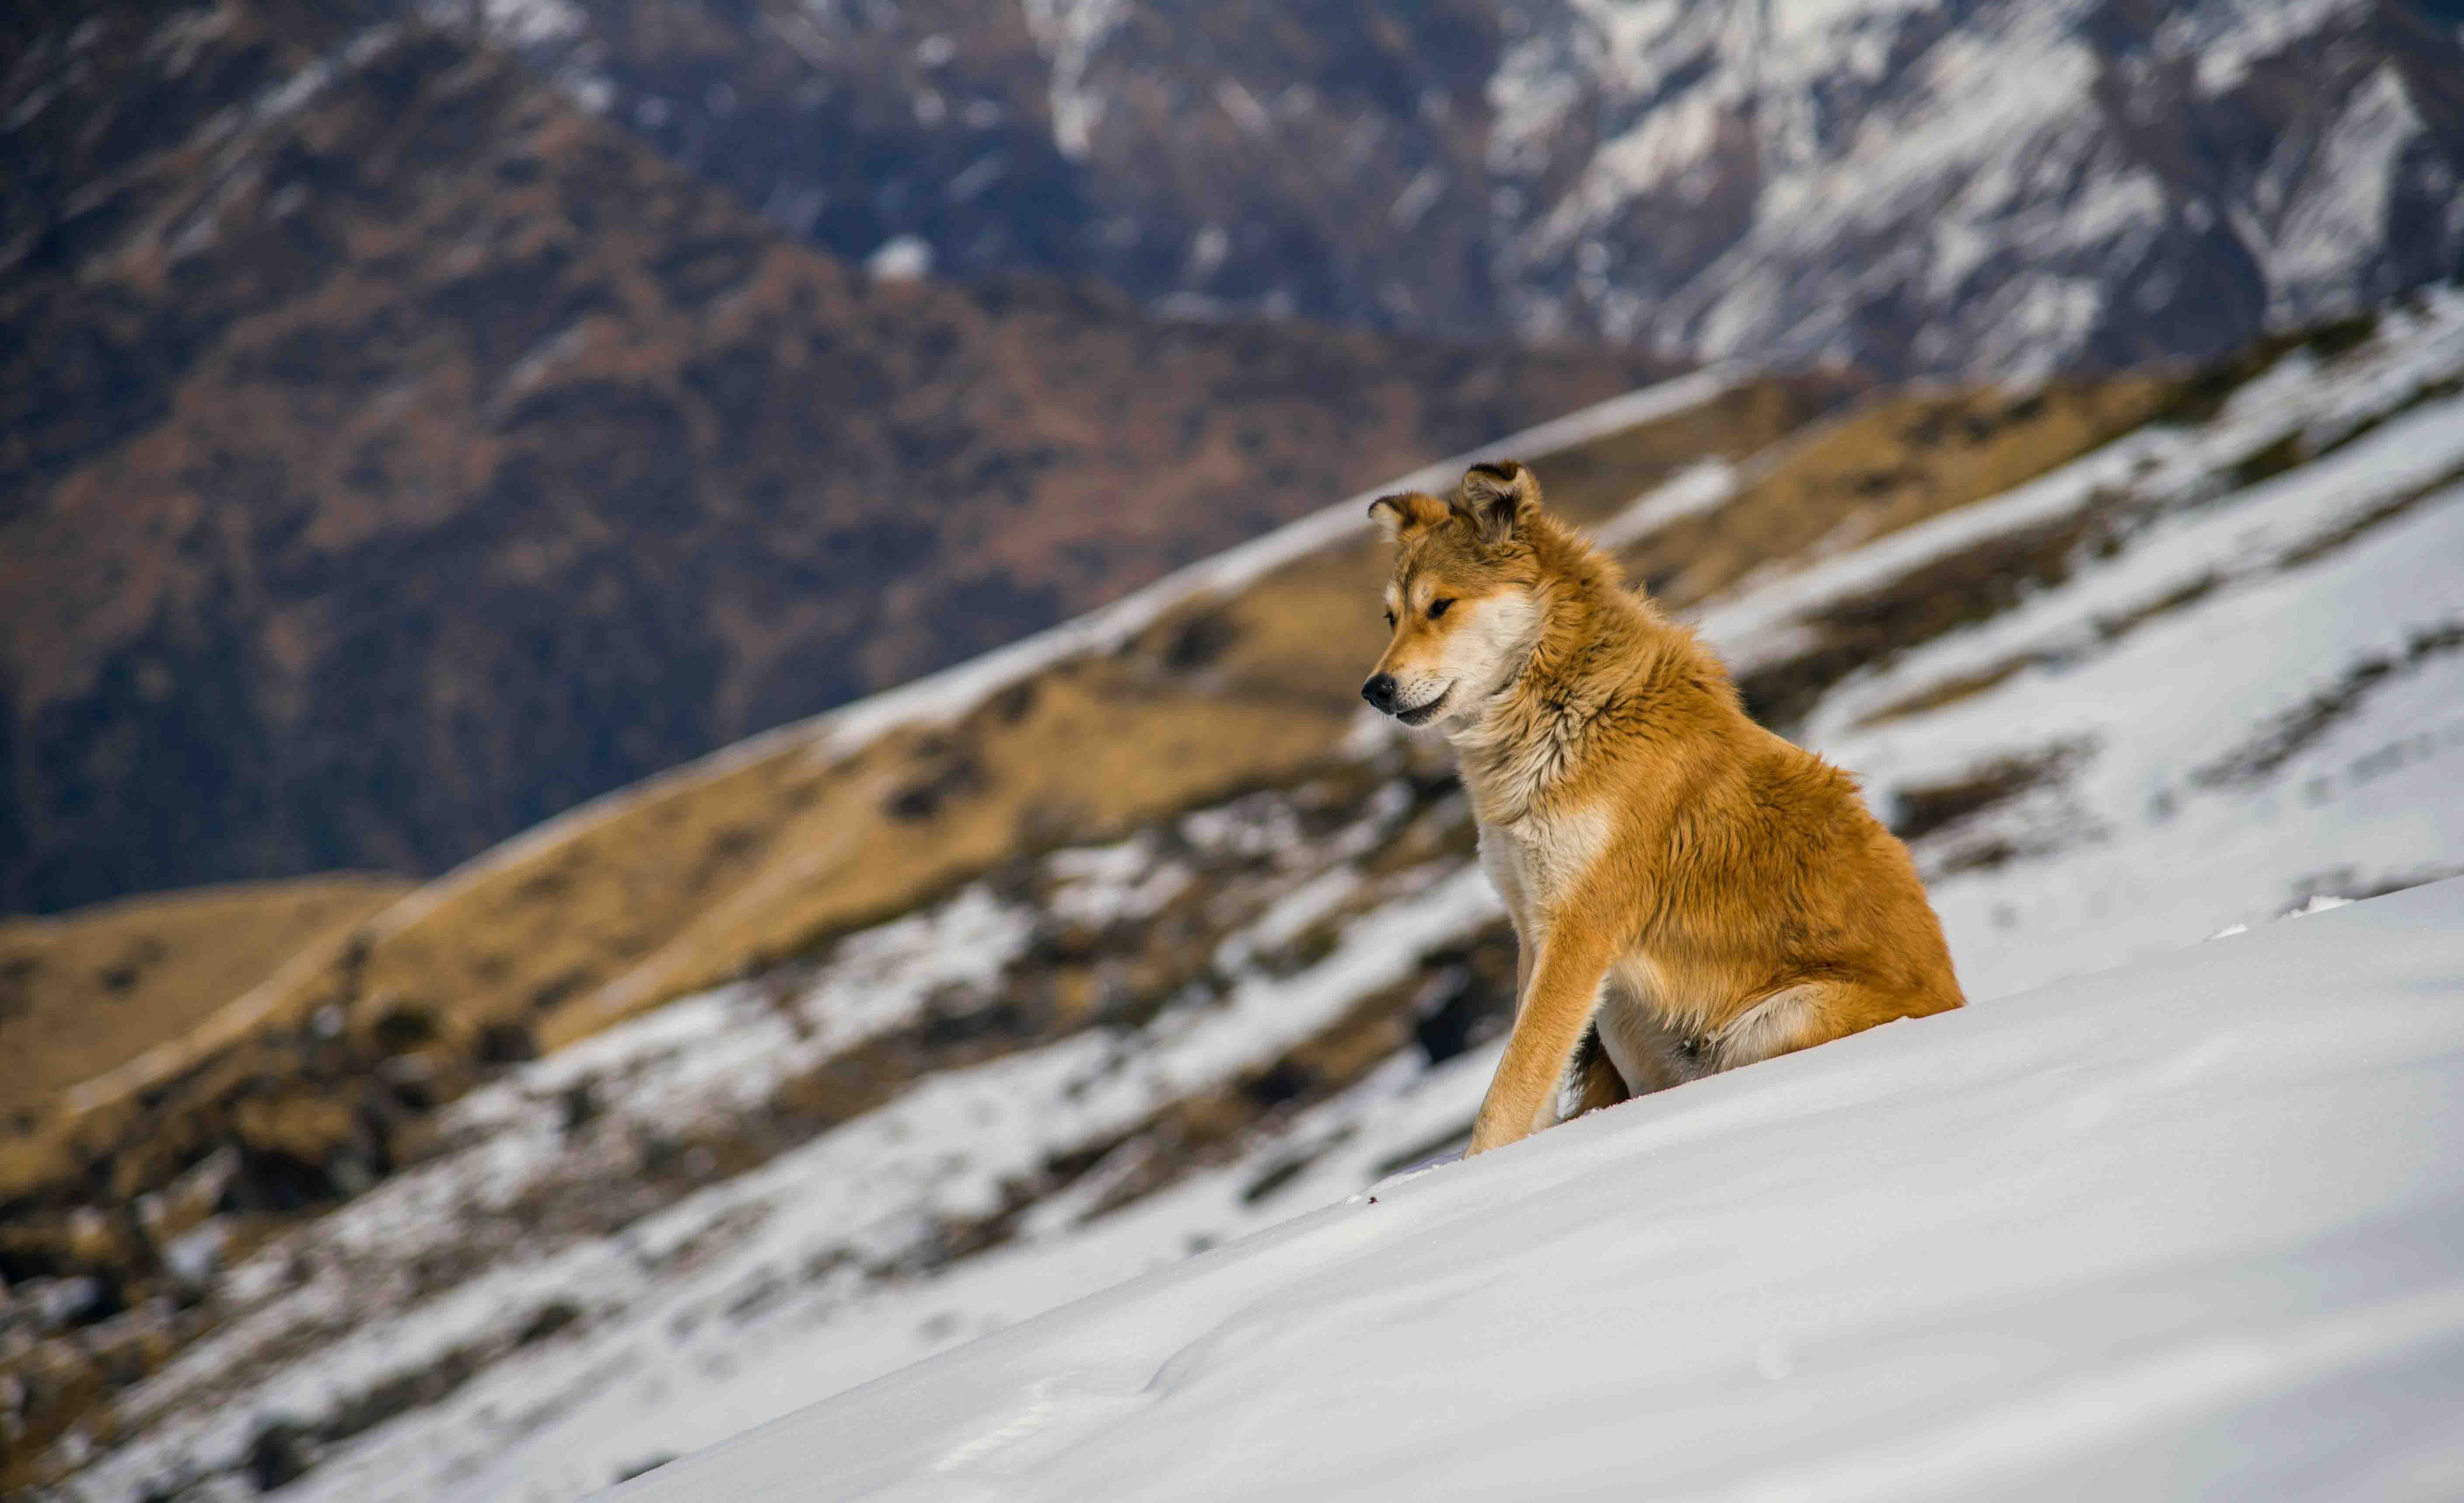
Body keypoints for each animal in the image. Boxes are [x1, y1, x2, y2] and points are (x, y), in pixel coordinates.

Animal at [1350, 463, 1961, 1153]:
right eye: (1391, 617)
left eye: (1440, 606)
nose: (1374, 690)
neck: (1562, 713)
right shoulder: (1534, 931)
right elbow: (1529, 1083)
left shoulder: (1579, 934)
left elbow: (1509, 1090)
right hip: (1627, 1008)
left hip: (1778, 1016)